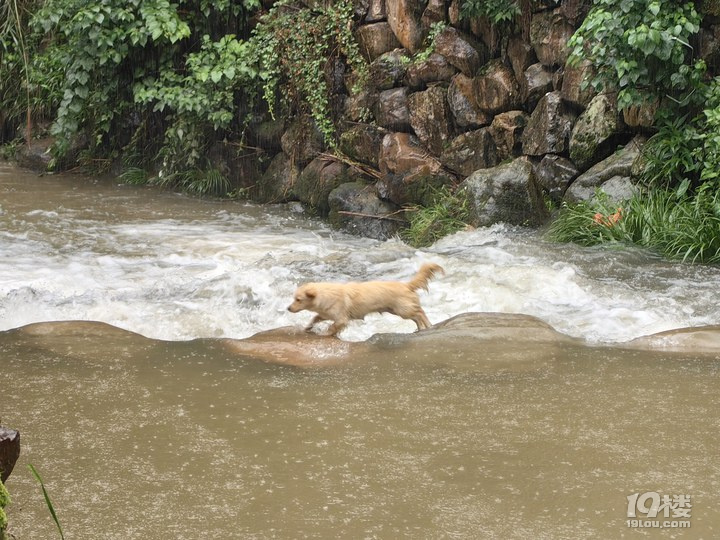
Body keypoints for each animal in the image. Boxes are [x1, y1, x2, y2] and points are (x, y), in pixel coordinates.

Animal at [286, 264, 444, 336]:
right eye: (293, 299)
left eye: (298, 299)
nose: (288, 308)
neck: (325, 295)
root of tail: (406, 284)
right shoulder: (325, 314)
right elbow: (315, 318)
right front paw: (308, 327)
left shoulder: (341, 319)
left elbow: (333, 327)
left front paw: (325, 333)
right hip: (396, 310)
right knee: (417, 316)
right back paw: (421, 328)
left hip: (402, 310)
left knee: (420, 312)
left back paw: (428, 325)